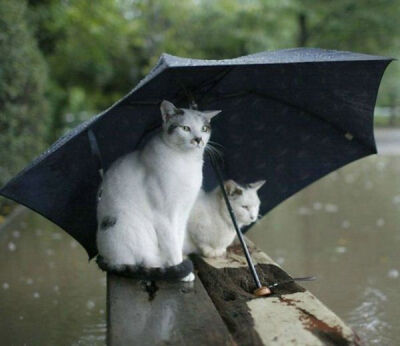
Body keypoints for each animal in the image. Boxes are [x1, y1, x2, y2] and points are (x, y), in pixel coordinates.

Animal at [95, 100, 220, 282]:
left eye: (204, 129)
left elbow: (178, 239)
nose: (198, 139)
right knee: (142, 262)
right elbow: (172, 246)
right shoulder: (164, 217)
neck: (186, 162)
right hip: (131, 226)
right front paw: (182, 271)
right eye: (185, 128)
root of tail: (104, 258)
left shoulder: (183, 213)